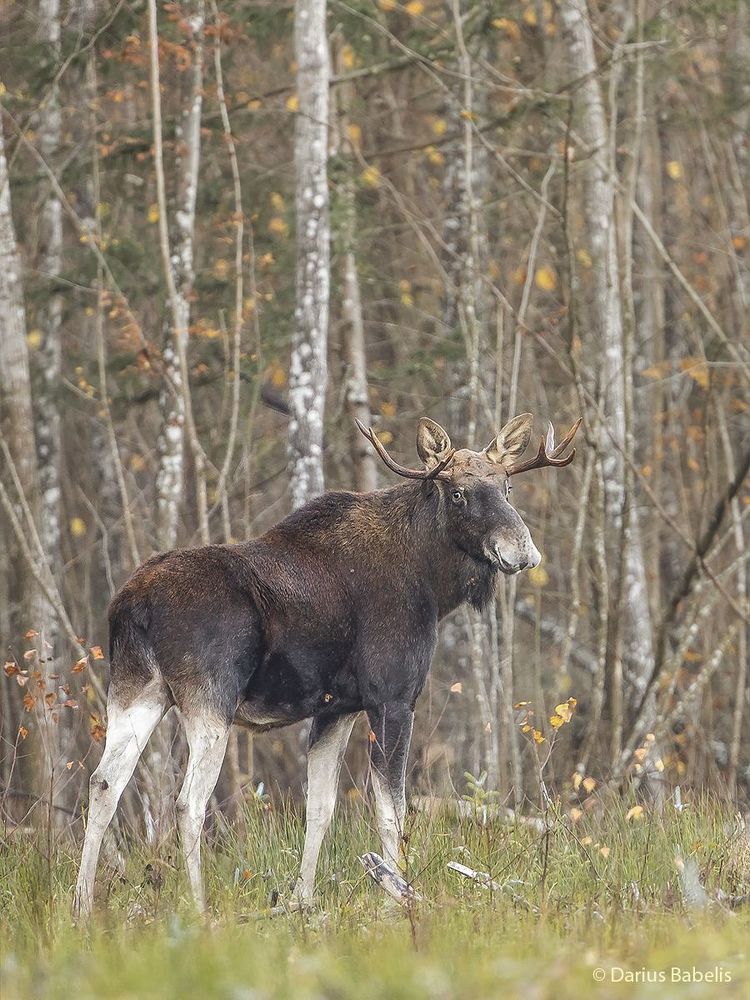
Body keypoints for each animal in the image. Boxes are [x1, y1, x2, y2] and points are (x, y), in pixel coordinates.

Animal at [73, 413, 579, 919]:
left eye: (507, 487)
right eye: (457, 493)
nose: (522, 551)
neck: (434, 585)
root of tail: (131, 605)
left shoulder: (336, 709)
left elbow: (320, 809)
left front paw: (303, 900)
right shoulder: (392, 698)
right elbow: (391, 812)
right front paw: (399, 897)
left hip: (139, 690)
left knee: (103, 783)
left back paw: (81, 907)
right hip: (208, 700)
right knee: (187, 803)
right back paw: (199, 910)